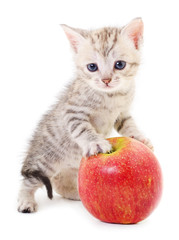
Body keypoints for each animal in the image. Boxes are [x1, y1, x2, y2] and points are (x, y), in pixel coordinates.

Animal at [17, 18, 153, 213]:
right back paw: (25, 201)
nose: (106, 80)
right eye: (92, 67)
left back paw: (77, 194)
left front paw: (139, 137)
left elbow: (129, 124)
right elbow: (82, 129)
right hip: (44, 161)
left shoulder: (122, 113)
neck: (112, 97)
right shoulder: (73, 112)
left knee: (59, 184)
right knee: (29, 180)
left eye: (119, 64)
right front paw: (96, 142)